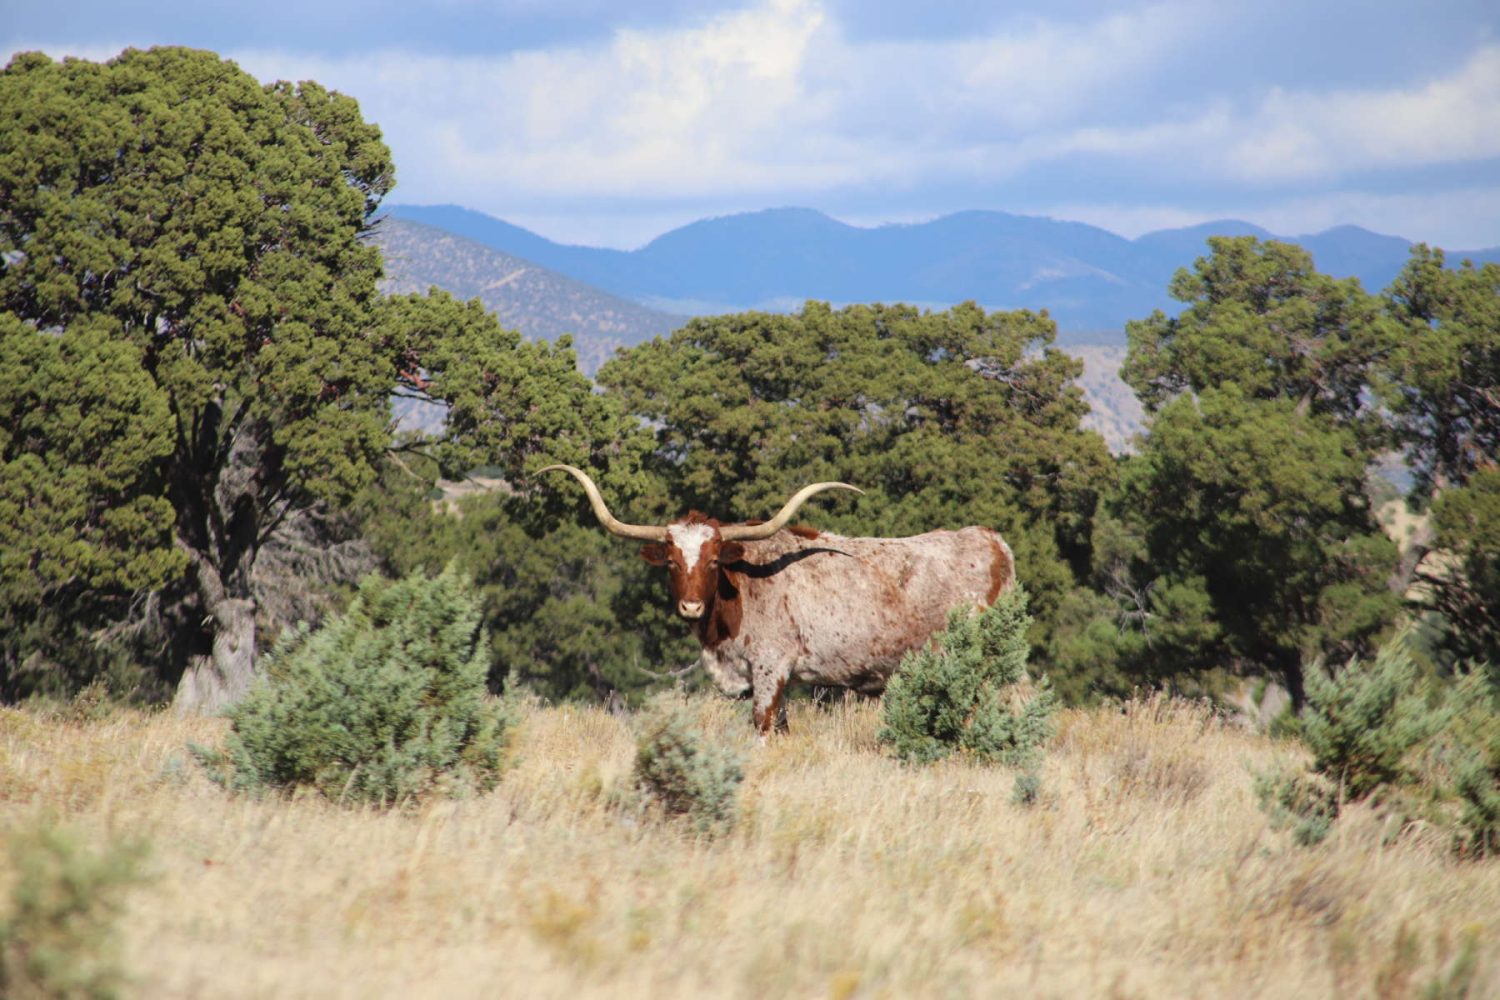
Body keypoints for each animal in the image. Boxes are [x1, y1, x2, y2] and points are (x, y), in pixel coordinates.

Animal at [543, 464, 1020, 740]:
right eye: (673, 562)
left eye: (713, 560)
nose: (691, 607)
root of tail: (991, 541)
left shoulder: (771, 668)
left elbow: (763, 726)